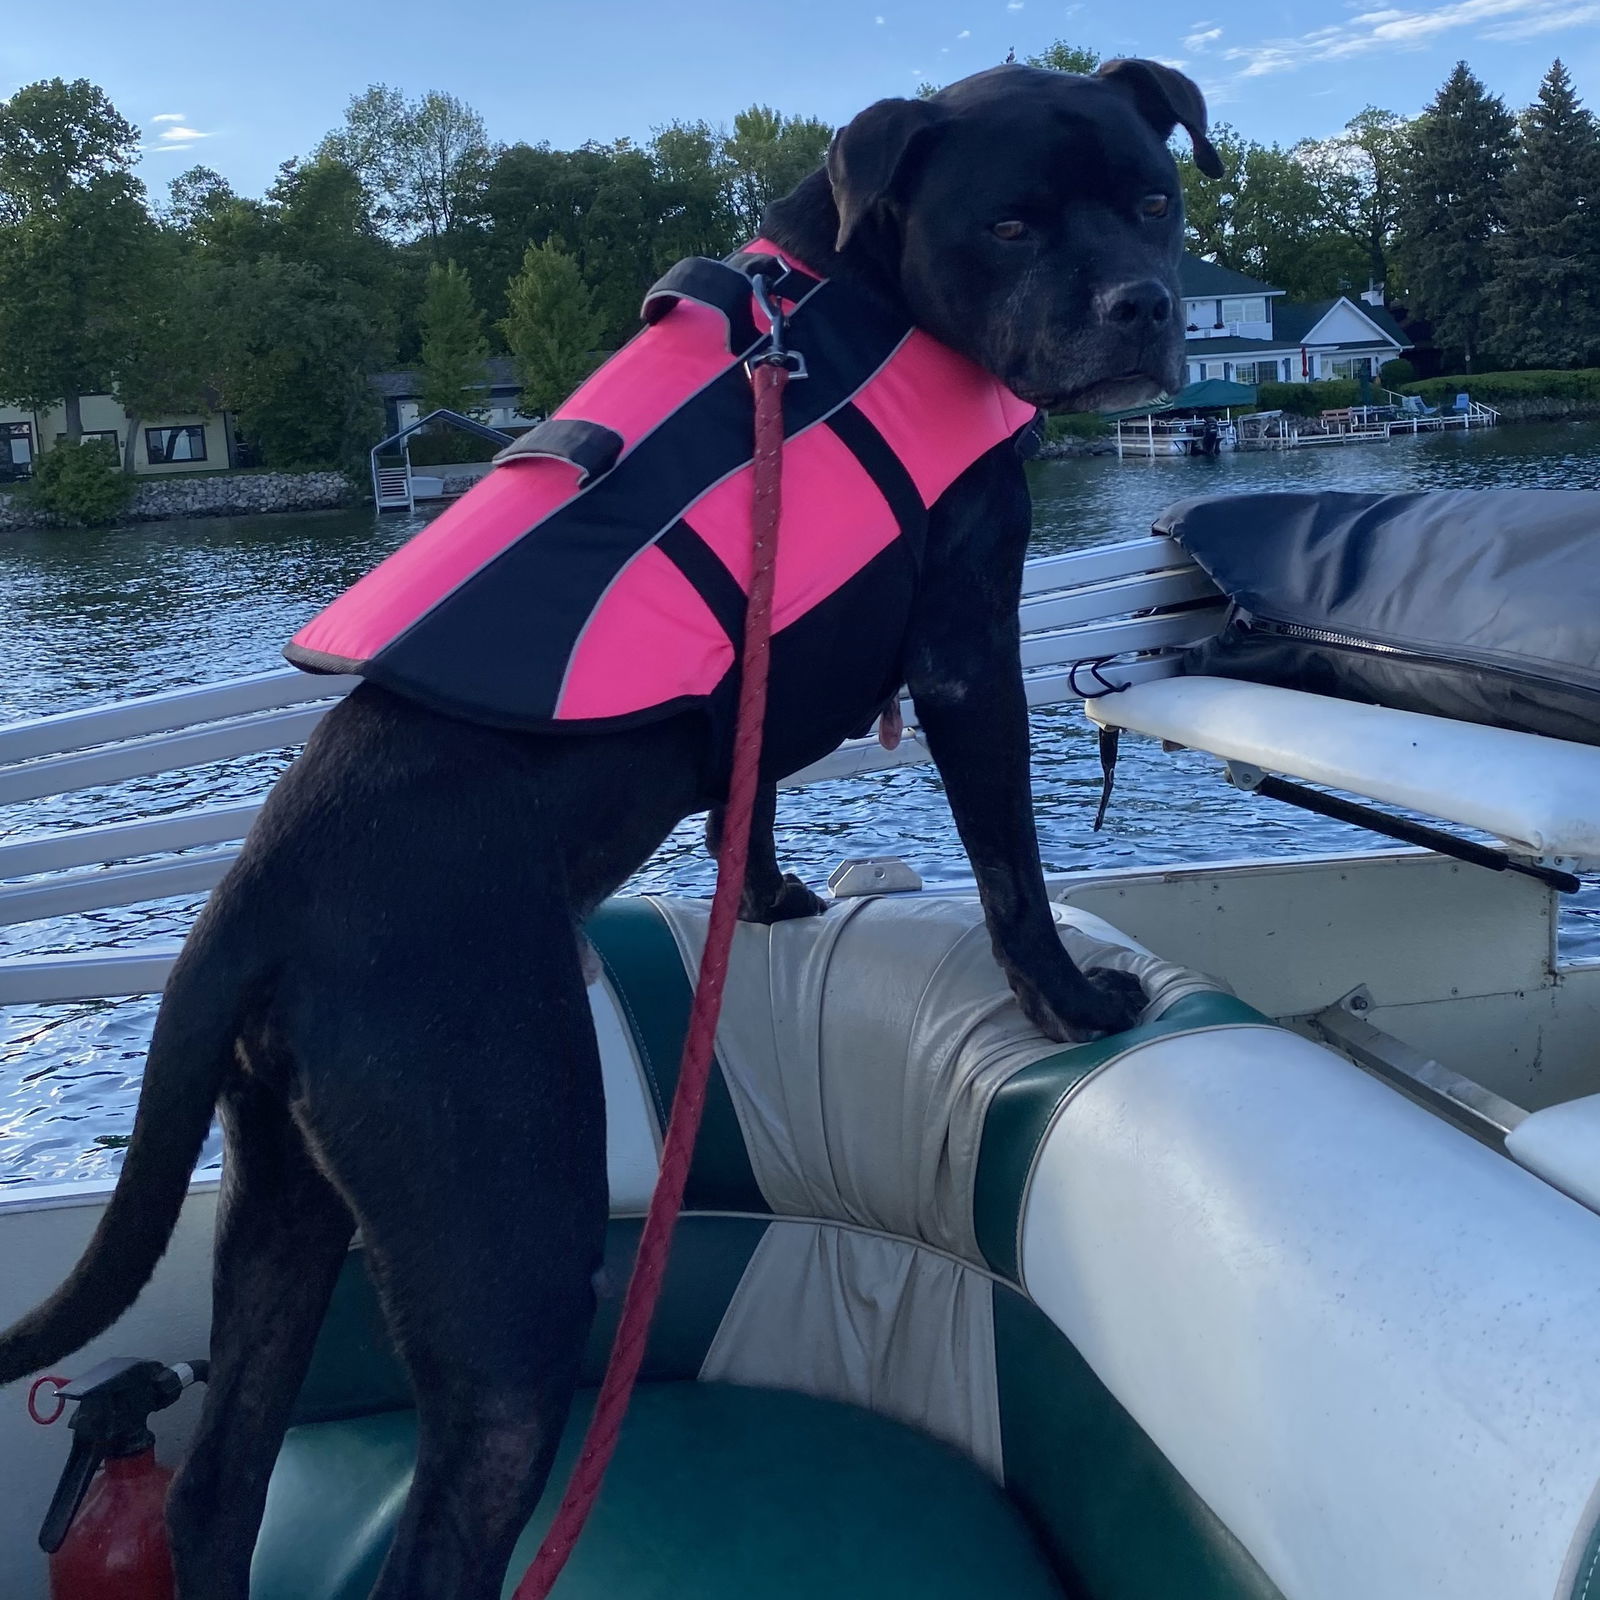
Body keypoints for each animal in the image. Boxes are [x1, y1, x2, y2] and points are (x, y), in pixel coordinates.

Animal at [3, 59, 1222, 1600]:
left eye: (1152, 201)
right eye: (1010, 223)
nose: (1146, 305)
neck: (856, 286)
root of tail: (250, 910)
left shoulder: (766, 696)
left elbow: (748, 795)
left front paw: (767, 900)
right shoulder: (965, 643)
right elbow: (1007, 853)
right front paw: (1068, 1000)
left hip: (286, 1200)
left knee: (221, 1487)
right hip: (508, 1247)